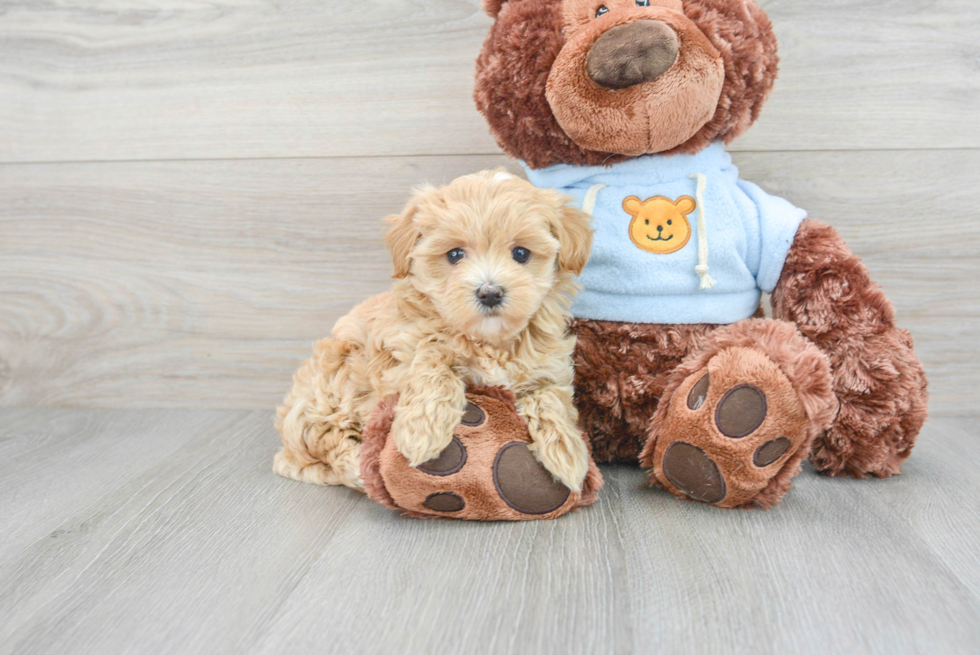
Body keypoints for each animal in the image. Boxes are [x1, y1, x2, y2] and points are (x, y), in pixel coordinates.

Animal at [276, 169, 596, 492]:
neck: (489, 341)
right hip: (333, 383)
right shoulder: (399, 353)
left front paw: (567, 452)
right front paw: (422, 431)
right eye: (454, 255)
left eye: (520, 253)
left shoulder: (548, 368)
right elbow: (431, 358)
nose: (490, 293)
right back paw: (360, 470)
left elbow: (551, 399)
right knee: (327, 443)